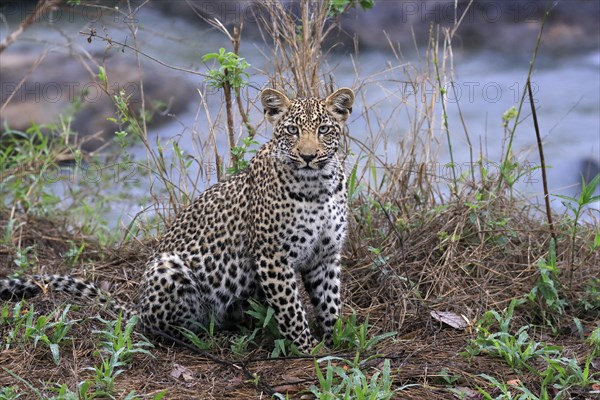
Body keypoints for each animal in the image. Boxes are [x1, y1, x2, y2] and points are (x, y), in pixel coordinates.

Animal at [0, 87, 354, 354]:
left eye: (323, 130)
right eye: (292, 130)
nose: (307, 156)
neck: (318, 186)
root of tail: (139, 306)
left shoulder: (326, 255)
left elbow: (331, 302)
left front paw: (335, 341)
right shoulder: (273, 257)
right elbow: (291, 309)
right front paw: (308, 350)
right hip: (168, 267)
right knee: (158, 326)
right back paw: (199, 337)